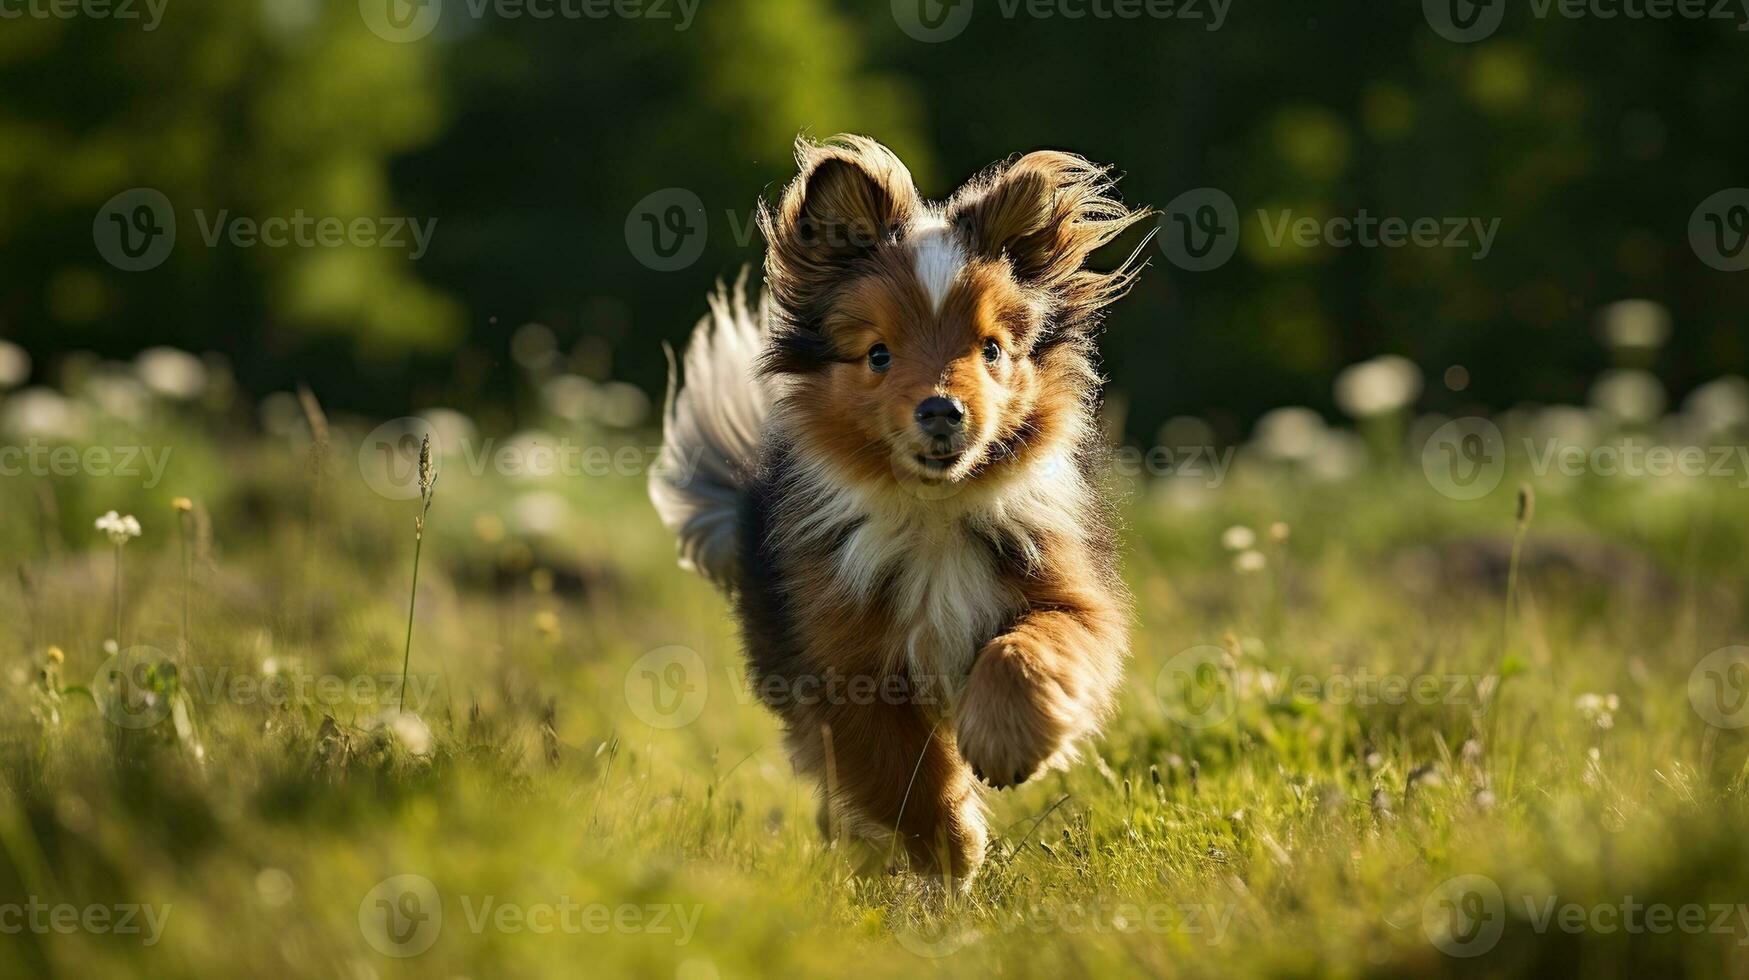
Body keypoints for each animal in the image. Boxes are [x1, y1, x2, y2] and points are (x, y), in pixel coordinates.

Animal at [650, 133, 1154, 892]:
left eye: (991, 349)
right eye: (878, 354)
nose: (942, 408)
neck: (933, 512)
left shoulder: (1067, 589)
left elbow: (1029, 647)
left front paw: (1005, 747)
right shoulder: (841, 659)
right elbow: (901, 775)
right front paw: (951, 854)